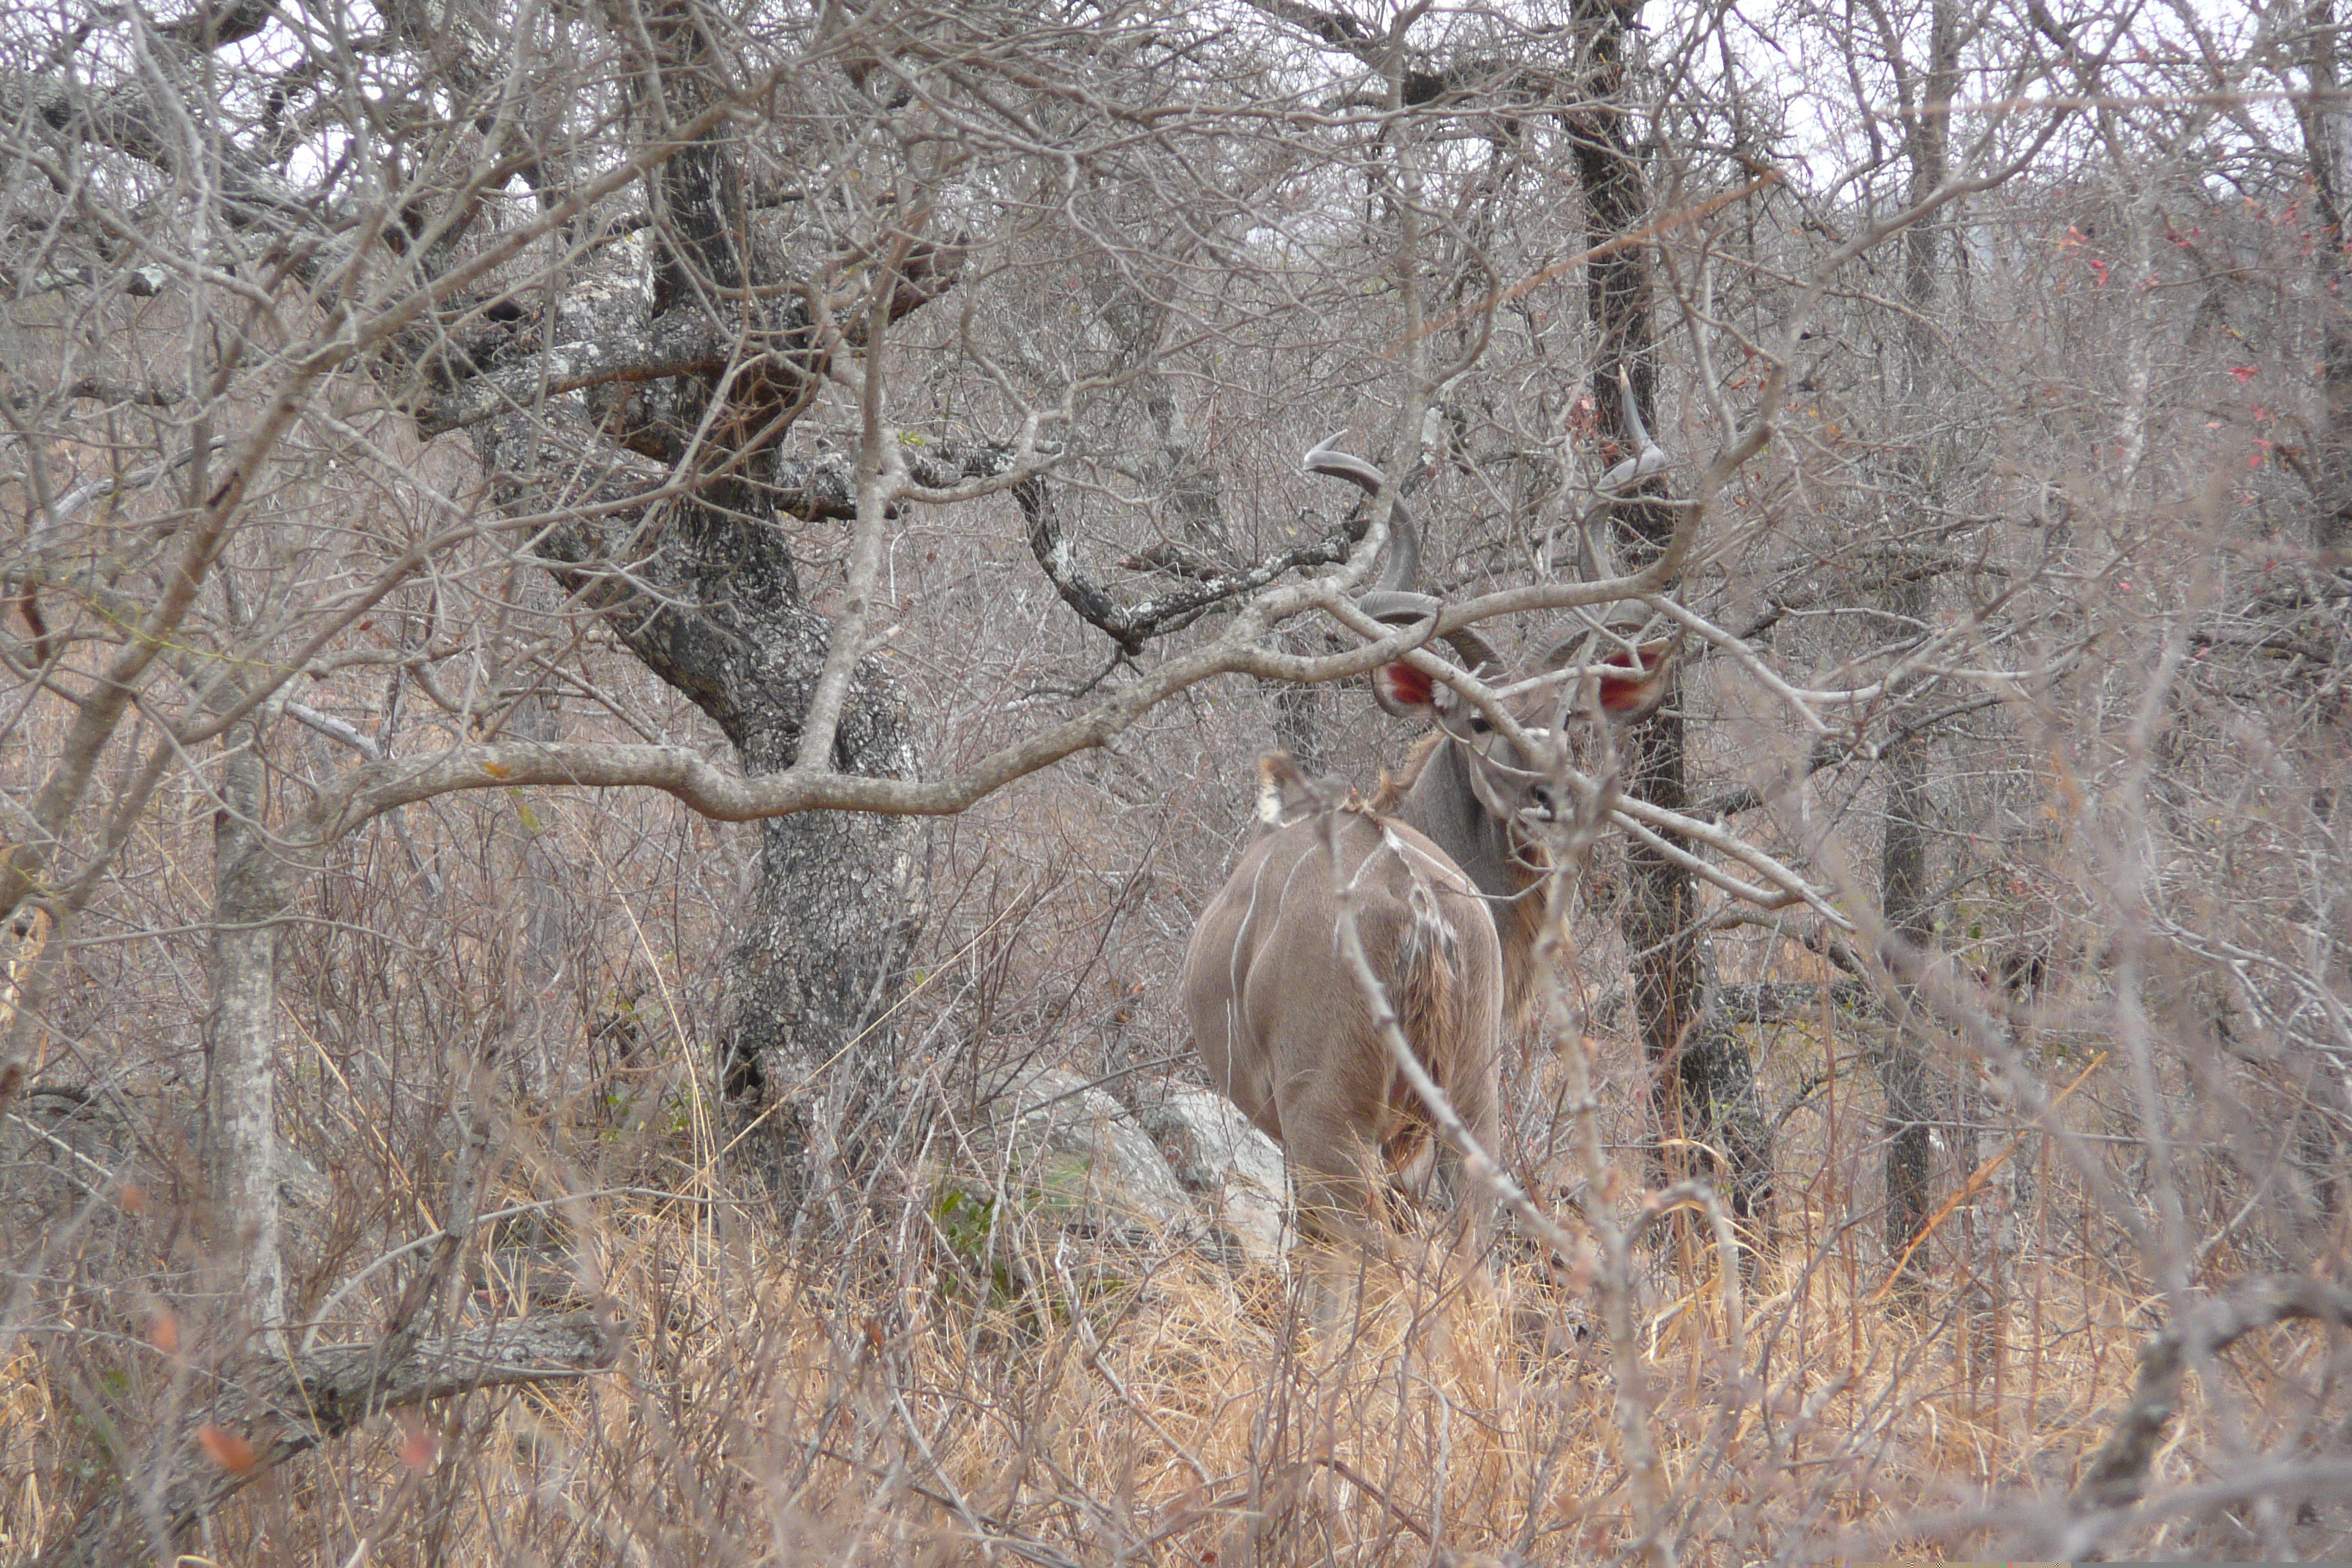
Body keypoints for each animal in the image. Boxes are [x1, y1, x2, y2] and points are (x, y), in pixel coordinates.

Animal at [1185, 434, 1665, 1259]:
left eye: (1571, 718)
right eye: (1477, 720)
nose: (1547, 796)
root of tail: (1418, 913)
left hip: (1332, 1125)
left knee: (1352, 1250)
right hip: (1469, 1107)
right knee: (1470, 1244)